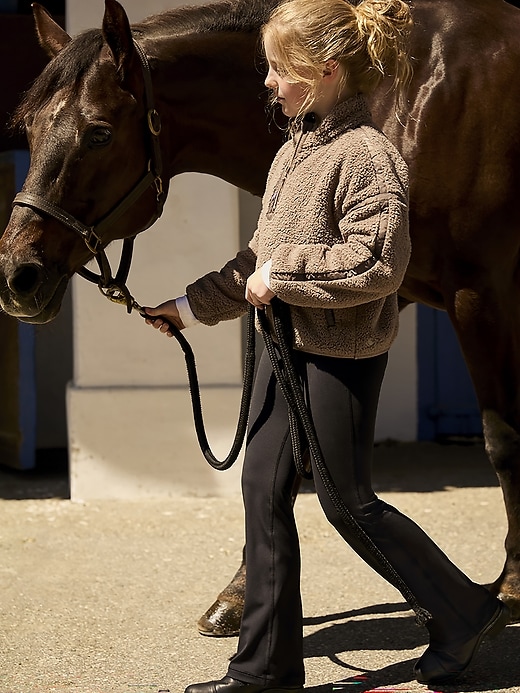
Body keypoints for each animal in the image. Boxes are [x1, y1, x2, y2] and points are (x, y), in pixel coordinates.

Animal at [1, 0, 520, 632]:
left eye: (98, 132)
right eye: (29, 130)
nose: (16, 277)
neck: (407, 90)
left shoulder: (480, 293)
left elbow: (503, 441)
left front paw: (512, 586)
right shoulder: (373, 295)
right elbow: (292, 455)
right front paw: (240, 593)